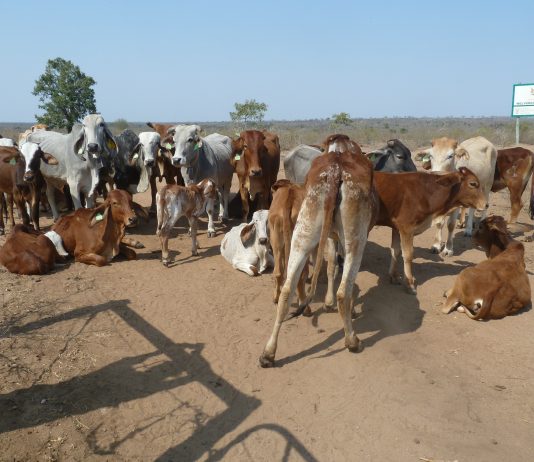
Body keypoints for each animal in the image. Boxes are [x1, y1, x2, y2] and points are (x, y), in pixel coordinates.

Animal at [260, 138, 377, 367]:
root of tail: (335, 171)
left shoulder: (329, 236)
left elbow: (331, 263)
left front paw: (328, 302)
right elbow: (338, 269)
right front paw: (346, 308)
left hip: (303, 229)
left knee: (287, 287)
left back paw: (268, 353)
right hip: (355, 239)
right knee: (344, 291)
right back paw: (352, 340)